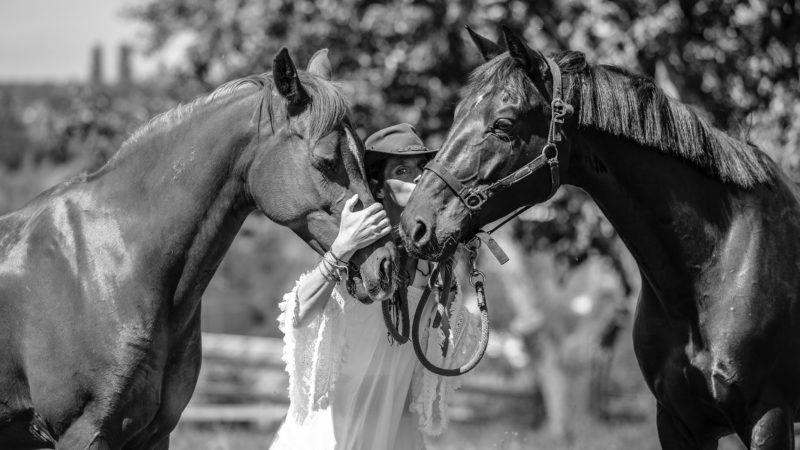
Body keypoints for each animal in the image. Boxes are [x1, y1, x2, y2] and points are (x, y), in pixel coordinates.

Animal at [0, 49, 400, 450]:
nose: (386, 266)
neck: (109, 267)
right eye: (325, 161)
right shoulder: (83, 432)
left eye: (363, 157)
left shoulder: (155, 434)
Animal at [404, 26, 800, 448]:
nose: (415, 224)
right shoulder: (677, 420)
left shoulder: (769, 416)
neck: (718, 263)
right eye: (457, 114)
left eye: (503, 124)